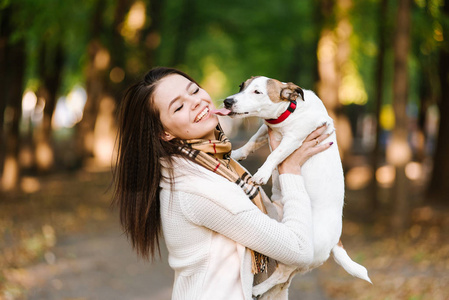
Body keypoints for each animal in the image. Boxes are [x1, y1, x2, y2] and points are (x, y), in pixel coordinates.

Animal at [215, 77, 370, 298]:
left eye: (257, 92)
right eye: (241, 87)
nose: (228, 101)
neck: (291, 110)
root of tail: (336, 240)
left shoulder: (294, 139)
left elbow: (275, 154)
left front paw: (262, 173)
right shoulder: (266, 130)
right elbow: (253, 140)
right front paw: (237, 153)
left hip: (298, 252)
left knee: (282, 275)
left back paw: (258, 288)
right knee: (285, 277)